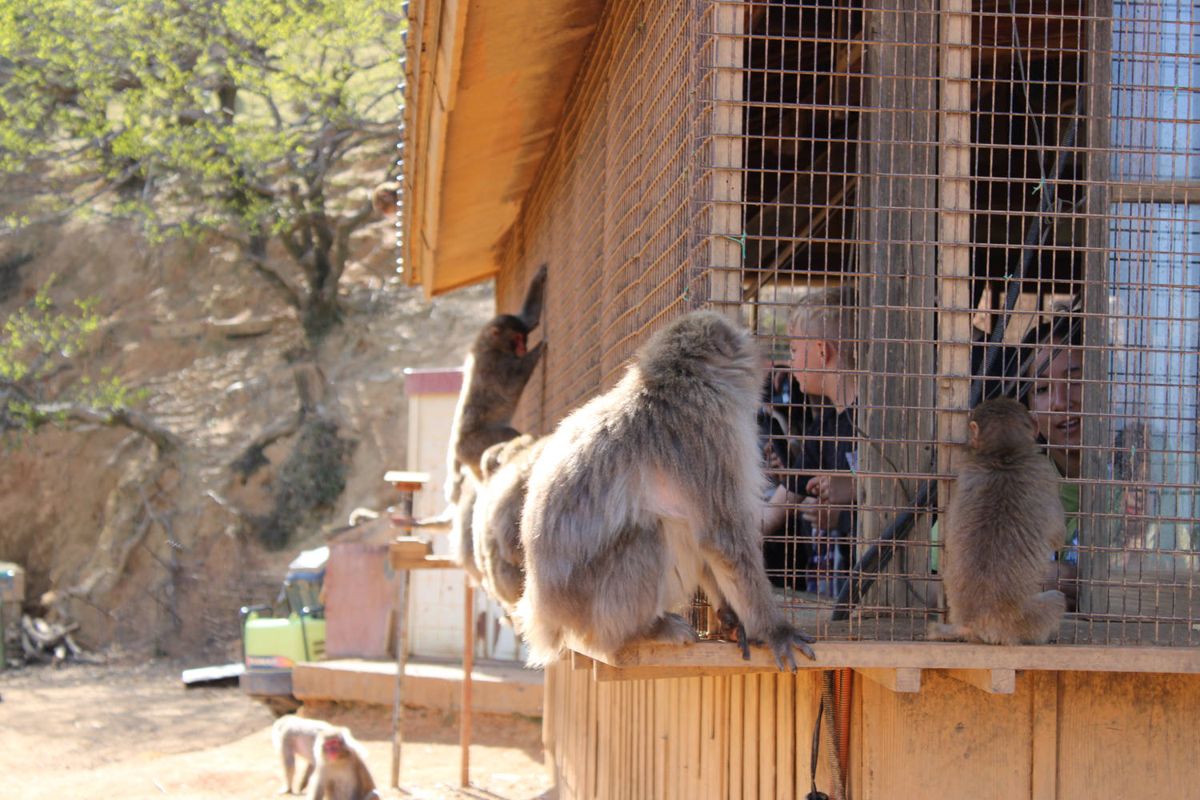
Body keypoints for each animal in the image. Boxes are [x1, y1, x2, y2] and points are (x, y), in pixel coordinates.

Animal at [445, 263, 548, 487]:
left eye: (523, 337)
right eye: (517, 339)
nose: (523, 347)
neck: (491, 343)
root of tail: (456, 449)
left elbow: (529, 318)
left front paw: (539, 276)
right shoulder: (497, 363)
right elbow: (514, 382)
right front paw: (539, 348)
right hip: (475, 444)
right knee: (507, 434)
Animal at [517, 310, 817, 671]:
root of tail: (544, 616)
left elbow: (708, 538)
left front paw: (733, 619)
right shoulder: (711, 436)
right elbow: (723, 539)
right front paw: (776, 630)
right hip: (593, 610)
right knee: (653, 533)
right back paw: (641, 631)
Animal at [928, 397, 1067, 645]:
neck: (1003, 454)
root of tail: (974, 622)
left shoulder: (966, 472)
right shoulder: (1044, 470)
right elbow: (1058, 536)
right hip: (1026, 622)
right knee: (1057, 599)